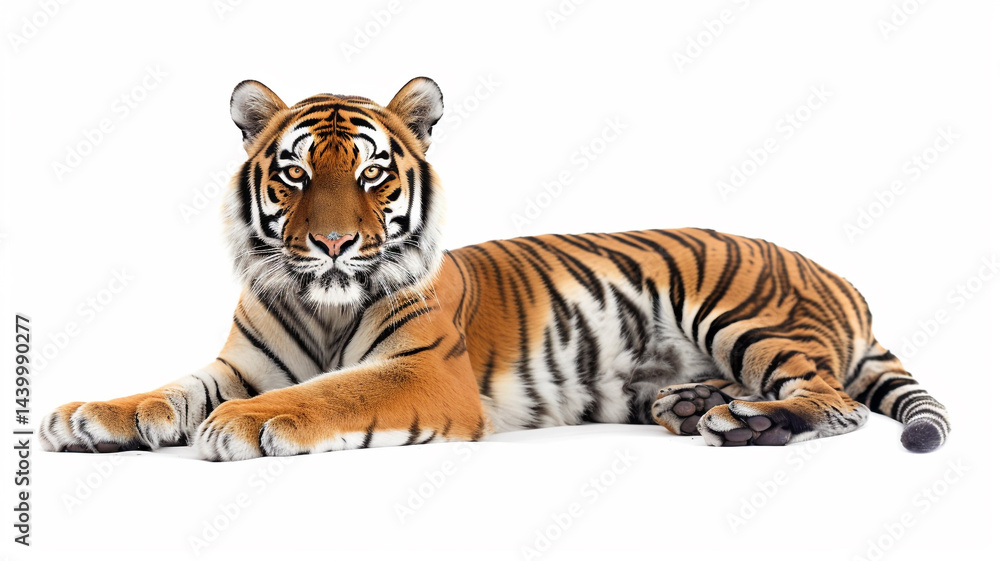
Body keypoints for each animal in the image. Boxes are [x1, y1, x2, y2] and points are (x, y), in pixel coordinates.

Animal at [39, 77, 950, 460]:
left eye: (371, 173)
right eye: (295, 174)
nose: (332, 245)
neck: (323, 302)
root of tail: (838, 275)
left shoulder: (421, 372)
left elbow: (329, 392)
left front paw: (245, 425)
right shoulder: (241, 363)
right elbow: (169, 388)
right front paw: (90, 414)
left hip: (747, 314)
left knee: (832, 401)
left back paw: (747, 423)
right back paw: (697, 407)